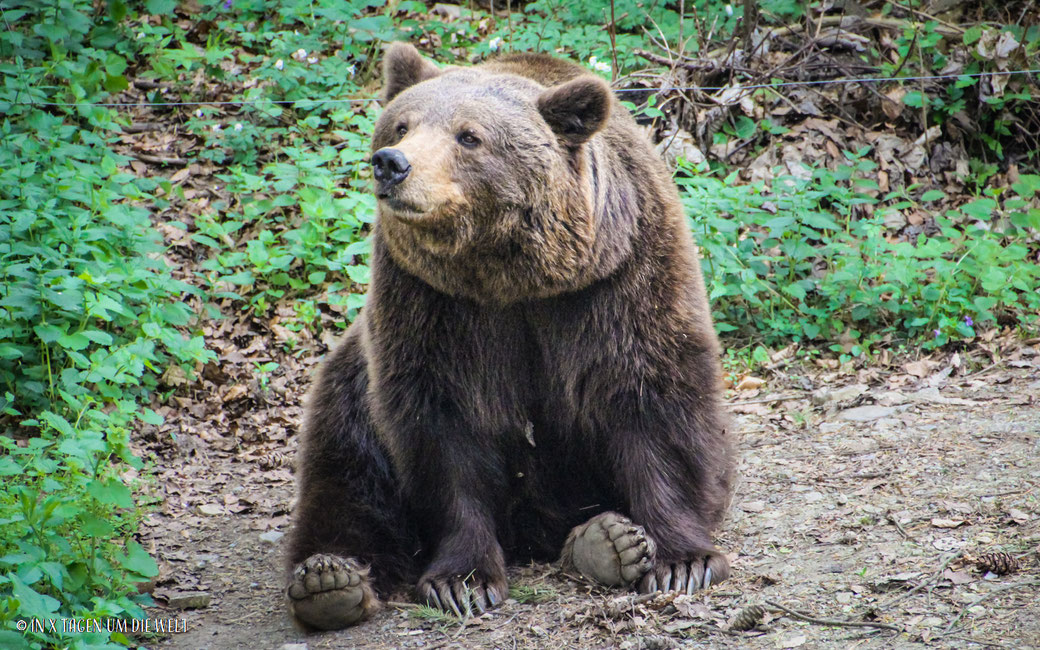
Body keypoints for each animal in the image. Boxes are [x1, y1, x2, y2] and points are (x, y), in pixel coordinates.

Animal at [284, 40, 732, 628]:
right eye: (401, 125)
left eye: (469, 135)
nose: (391, 164)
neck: (514, 278)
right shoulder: (435, 303)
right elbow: (444, 428)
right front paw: (462, 581)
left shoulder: (618, 280)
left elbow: (652, 396)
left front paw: (682, 561)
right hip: (352, 379)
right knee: (346, 472)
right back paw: (329, 580)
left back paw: (605, 542)